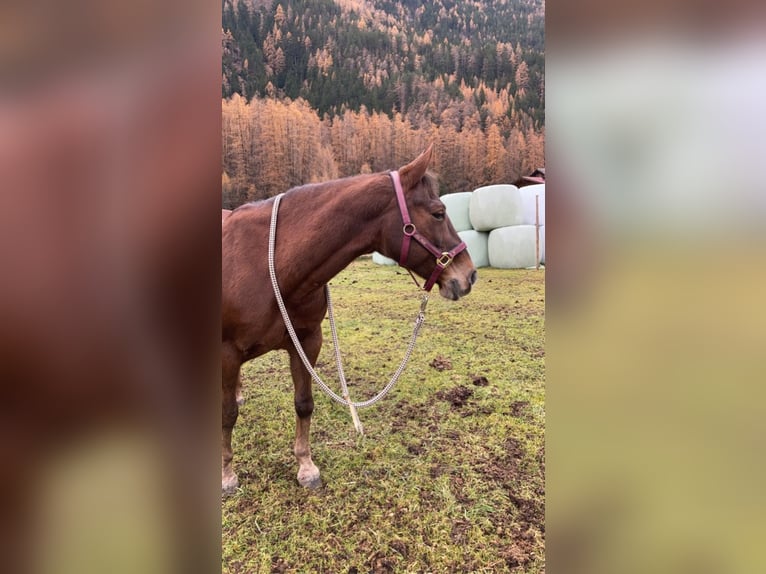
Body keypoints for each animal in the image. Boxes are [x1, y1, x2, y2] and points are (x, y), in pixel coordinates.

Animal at [219, 147, 476, 496]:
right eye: (438, 213)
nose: (469, 275)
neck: (269, 264)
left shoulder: (307, 342)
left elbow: (303, 403)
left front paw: (306, 466)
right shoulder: (228, 353)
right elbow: (228, 415)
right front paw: (226, 474)